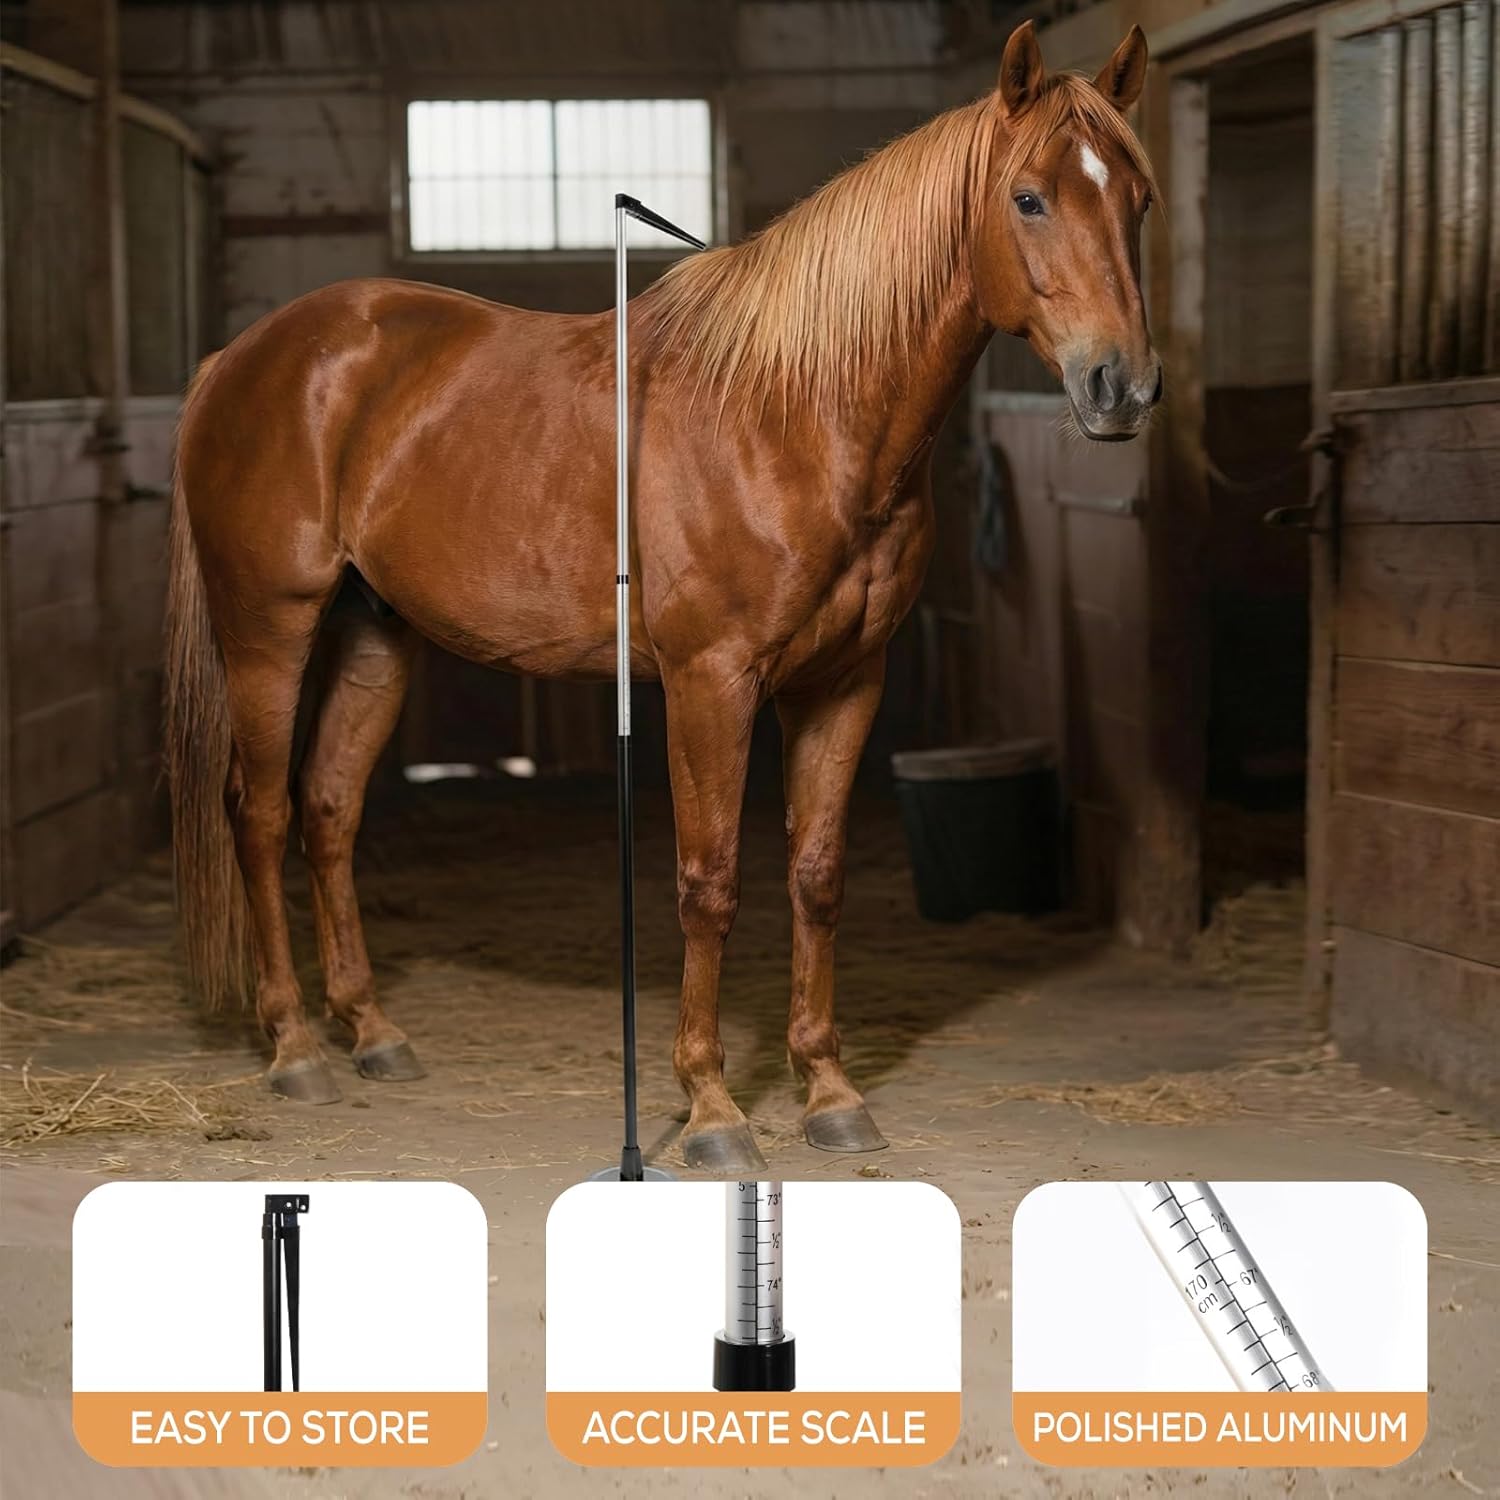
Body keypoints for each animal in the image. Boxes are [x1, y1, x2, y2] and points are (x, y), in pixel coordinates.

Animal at [164, 21, 1160, 1173]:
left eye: (1138, 200)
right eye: (1029, 198)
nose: (1123, 388)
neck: (797, 411)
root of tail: (244, 356)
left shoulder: (843, 684)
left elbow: (816, 876)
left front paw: (828, 1093)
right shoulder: (710, 684)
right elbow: (709, 881)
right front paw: (713, 1111)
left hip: (378, 633)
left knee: (329, 810)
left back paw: (373, 1033)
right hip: (268, 630)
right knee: (263, 811)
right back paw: (293, 1048)